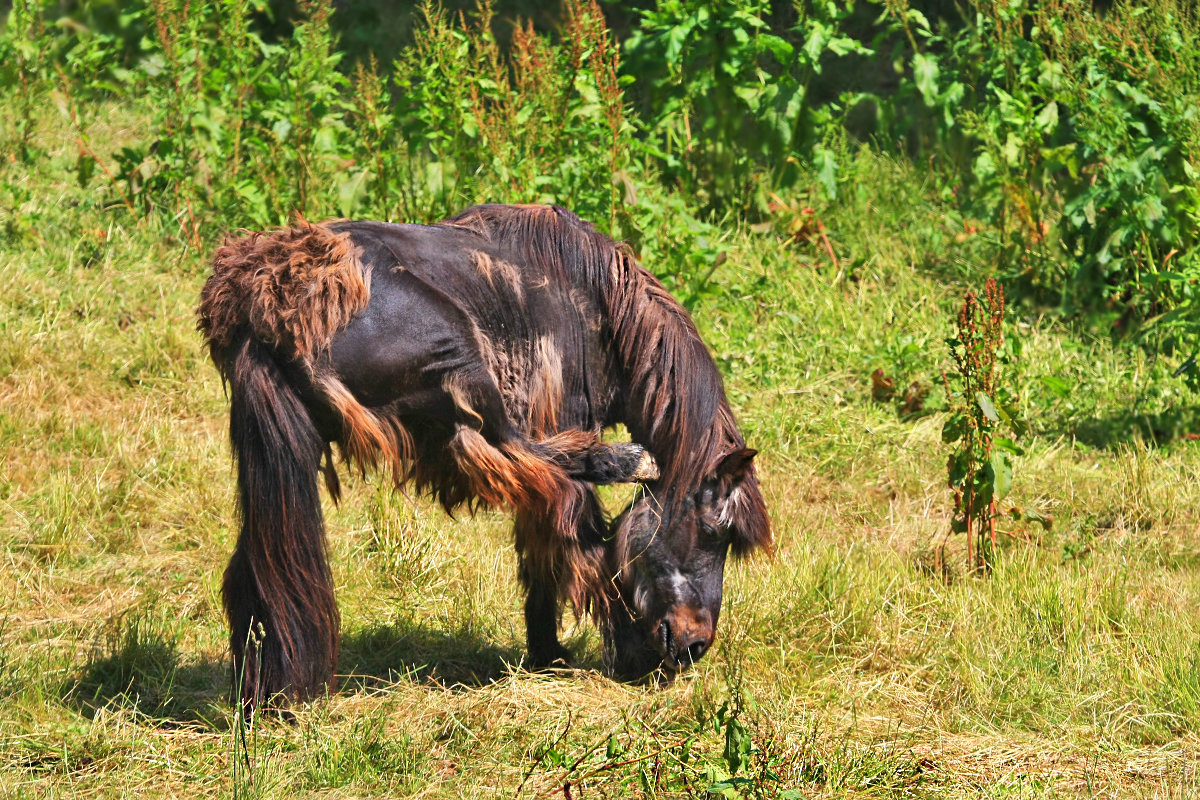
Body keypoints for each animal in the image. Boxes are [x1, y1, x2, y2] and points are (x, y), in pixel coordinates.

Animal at [196, 203, 768, 710]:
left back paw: (263, 694)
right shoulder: (556, 419)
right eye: (714, 531)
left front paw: (549, 655)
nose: (694, 646)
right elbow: (562, 537)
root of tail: (262, 300)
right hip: (461, 360)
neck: (597, 308)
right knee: (546, 470)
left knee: (257, 566)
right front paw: (585, 653)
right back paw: (625, 460)